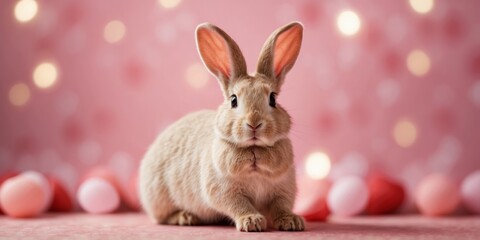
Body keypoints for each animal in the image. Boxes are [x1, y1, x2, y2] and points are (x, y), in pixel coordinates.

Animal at [140, 21, 304, 232]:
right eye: (233, 100)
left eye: (273, 99)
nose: (254, 123)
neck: (253, 147)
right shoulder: (225, 191)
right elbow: (238, 205)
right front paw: (252, 222)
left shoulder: (283, 189)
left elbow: (281, 206)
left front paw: (292, 222)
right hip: (159, 197)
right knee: (162, 216)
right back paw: (185, 217)